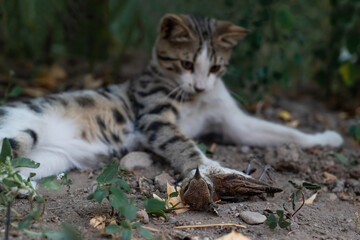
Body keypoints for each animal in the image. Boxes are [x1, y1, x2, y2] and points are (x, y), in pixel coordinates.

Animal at [0, 14, 344, 189]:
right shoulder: (153, 118)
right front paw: (219, 172)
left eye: (216, 67)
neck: (195, 97)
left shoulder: (234, 123)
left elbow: (284, 131)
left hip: (49, 158)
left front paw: (326, 138)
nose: (201, 86)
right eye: (186, 64)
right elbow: (185, 146)